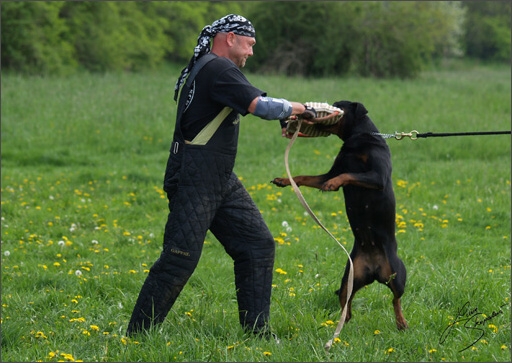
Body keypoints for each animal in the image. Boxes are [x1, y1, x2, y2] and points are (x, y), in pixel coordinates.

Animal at [272, 101, 408, 332]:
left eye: (337, 106)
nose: (307, 110)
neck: (357, 139)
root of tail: (374, 270)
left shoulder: (377, 176)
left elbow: (348, 175)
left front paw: (332, 184)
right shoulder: (329, 172)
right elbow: (304, 177)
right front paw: (283, 180)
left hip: (397, 274)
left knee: (396, 298)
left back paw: (401, 322)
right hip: (349, 277)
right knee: (347, 301)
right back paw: (343, 321)